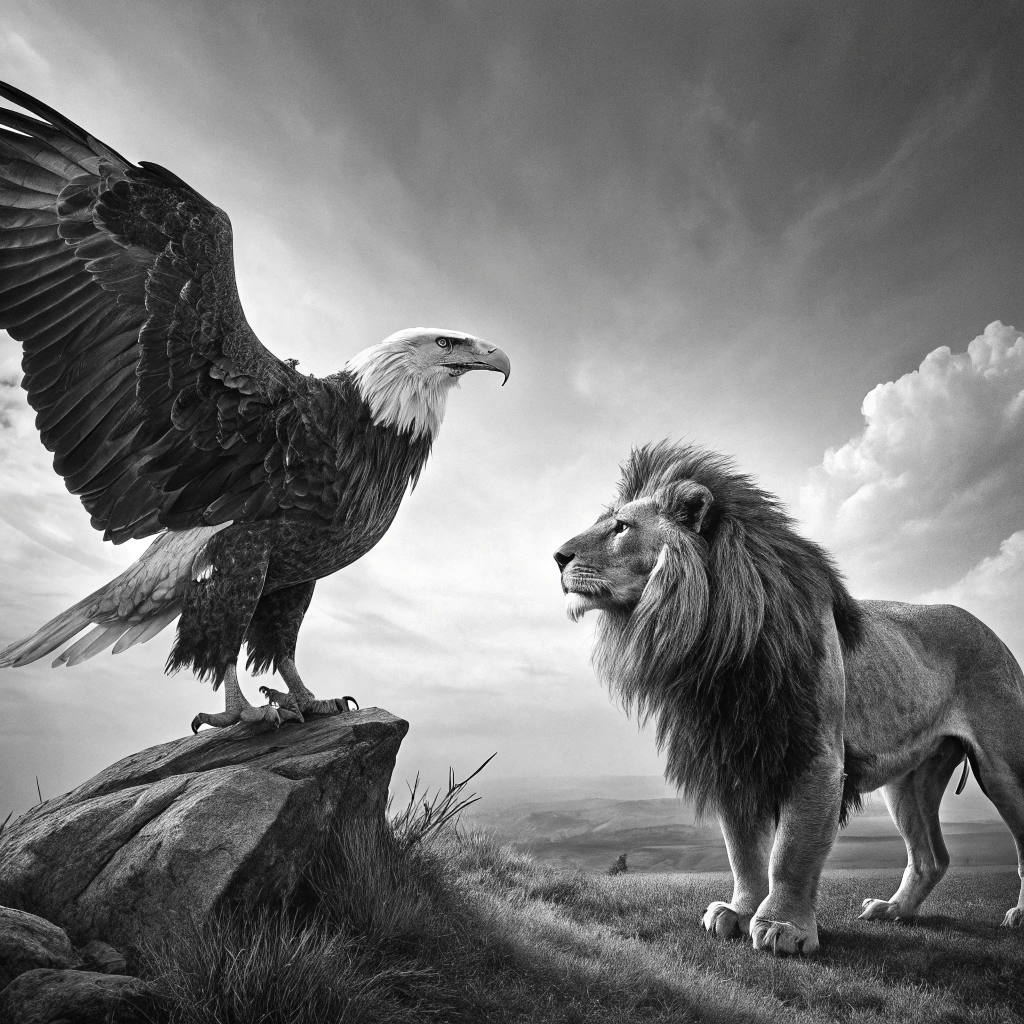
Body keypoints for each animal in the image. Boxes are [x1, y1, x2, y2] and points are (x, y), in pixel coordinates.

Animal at [553, 440, 1024, 956]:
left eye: (621, 527)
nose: (557, 556)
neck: (717, 641)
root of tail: (993, 633)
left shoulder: (814, 754)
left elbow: (792, 849)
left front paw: (784, 928)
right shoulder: (731, 753)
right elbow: (743, 850)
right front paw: (739, 912)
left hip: (1004, 769)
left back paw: (1017, 914)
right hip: (909, 781)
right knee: (931, 857)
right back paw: (893, 911)